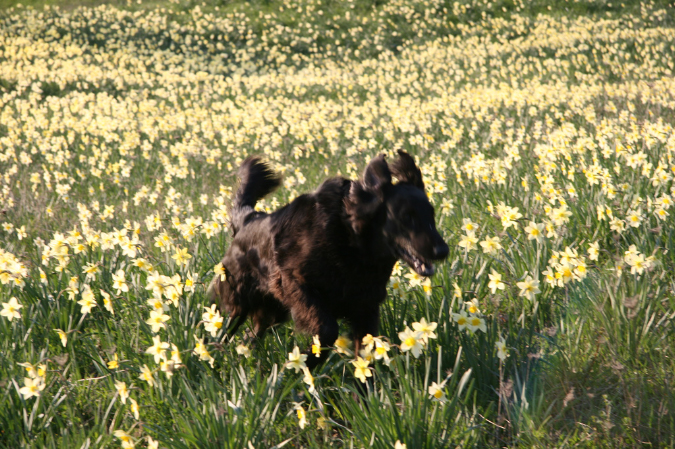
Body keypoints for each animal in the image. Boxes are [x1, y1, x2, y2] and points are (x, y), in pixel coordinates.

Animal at [209, 151, 449, 367]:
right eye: (406, 217)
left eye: (431, 214)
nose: (443, 251)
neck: (351, 242)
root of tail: (247, 219)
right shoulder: (297, 285)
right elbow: (328, 330)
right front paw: (306, 362)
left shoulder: (366, 308)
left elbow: (365, 356)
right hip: (237, 304)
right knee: (226, 329)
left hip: (272, 312)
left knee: (251, 335)